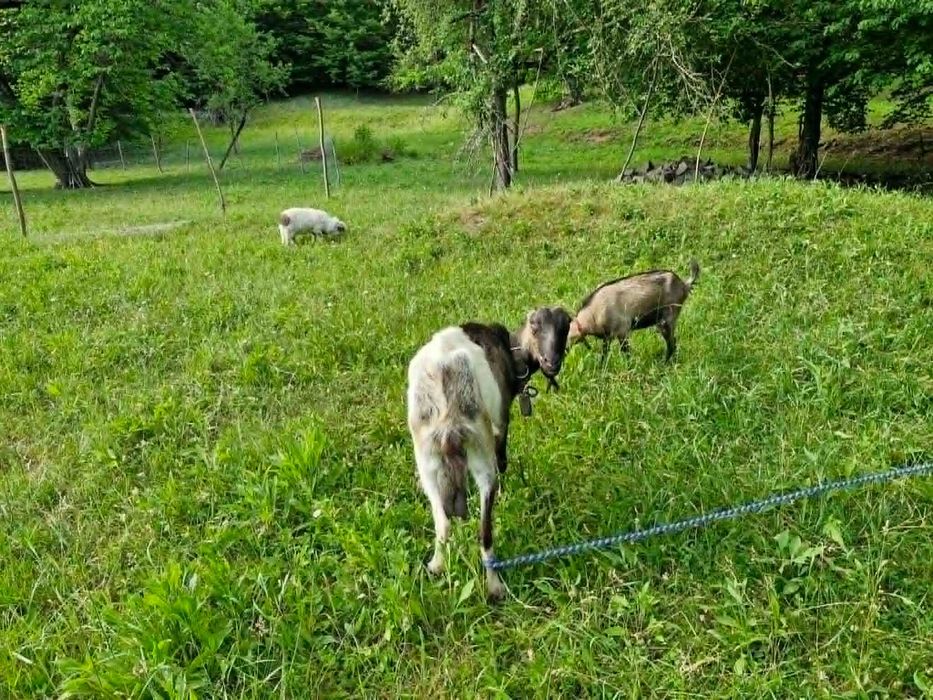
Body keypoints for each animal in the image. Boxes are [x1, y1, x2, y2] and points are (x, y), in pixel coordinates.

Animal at [406, 306, 571, 600]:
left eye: (567, 325)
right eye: (535, 326)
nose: (552, 362)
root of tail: (442, 373)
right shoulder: (500, 422)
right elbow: (503, 457)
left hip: (426, 454)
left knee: (442, 523)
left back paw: (436, 566)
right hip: (479, 443)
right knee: (485, 529)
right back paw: (495, 587)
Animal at [569, 260, 700, 360]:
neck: (594, 313)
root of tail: (684, 285)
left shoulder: (622, 331)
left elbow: (625, 351)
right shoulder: (607, 337)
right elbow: (604, 354)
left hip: (667, 319)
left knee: (671, 343)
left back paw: (665, 362)